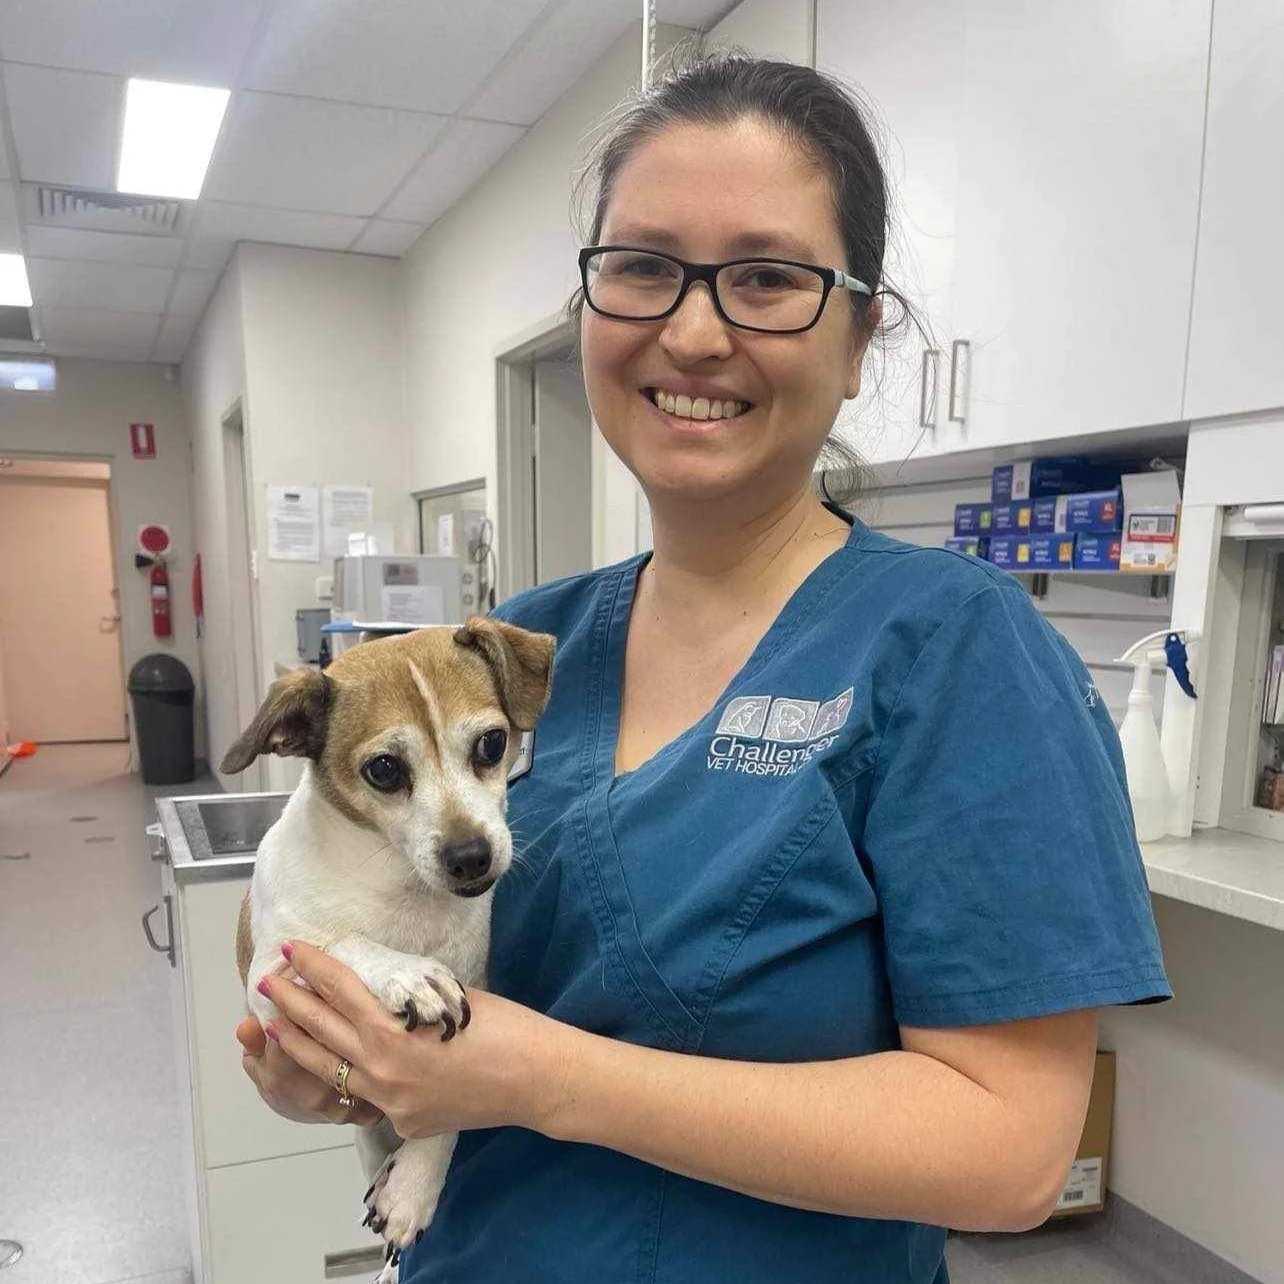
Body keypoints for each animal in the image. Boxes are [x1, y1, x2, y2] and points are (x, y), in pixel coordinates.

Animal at [221, 617, 555, 1279]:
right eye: (383, 770)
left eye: (491, 745)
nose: (471, 856)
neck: (404, 893)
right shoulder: (270, 983)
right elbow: (343, 941)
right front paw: (410, 976)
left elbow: (445, 1116)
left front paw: (413, 1190)